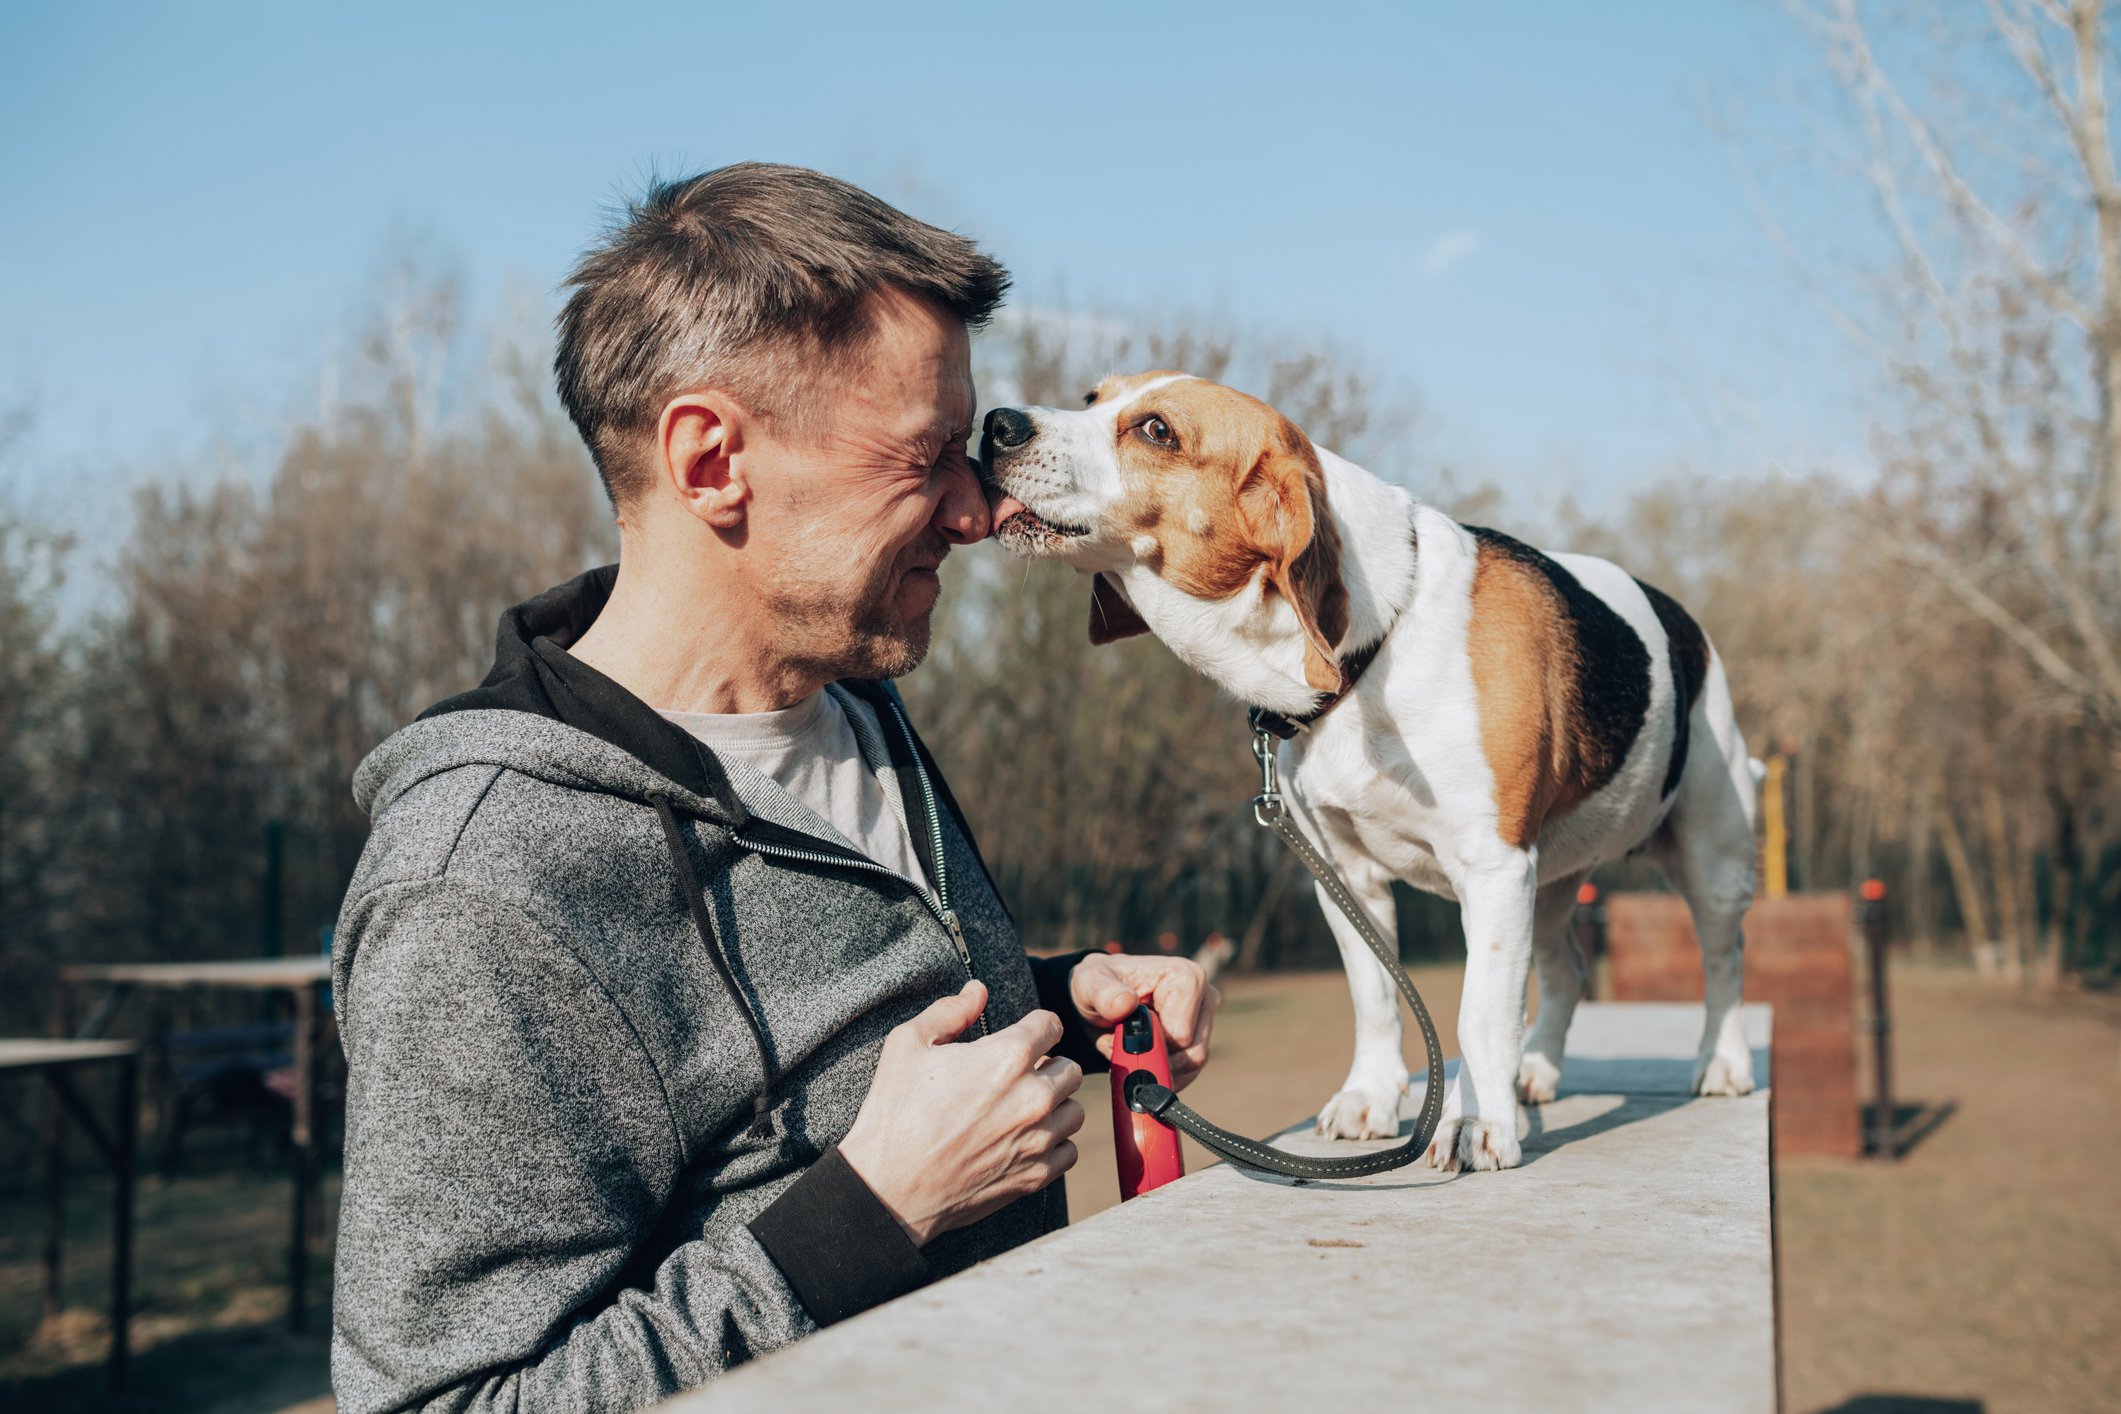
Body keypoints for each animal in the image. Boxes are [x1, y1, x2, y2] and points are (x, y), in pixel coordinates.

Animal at [975, 373, 1756, 1170]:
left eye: (1157, 430)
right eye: (1091, 397)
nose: (996, 425)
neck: (1374, 647)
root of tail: (1684, 622)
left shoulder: (1493, 868)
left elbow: (1480, 1014)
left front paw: (1479, 1122)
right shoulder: (1343, 871)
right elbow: (1376, 997)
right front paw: (1373, 1098)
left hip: (1708, 857)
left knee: (1723, 960)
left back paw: (1719, 1063)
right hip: (1556, 879)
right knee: (1566, 970)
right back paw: (1535, 1069)